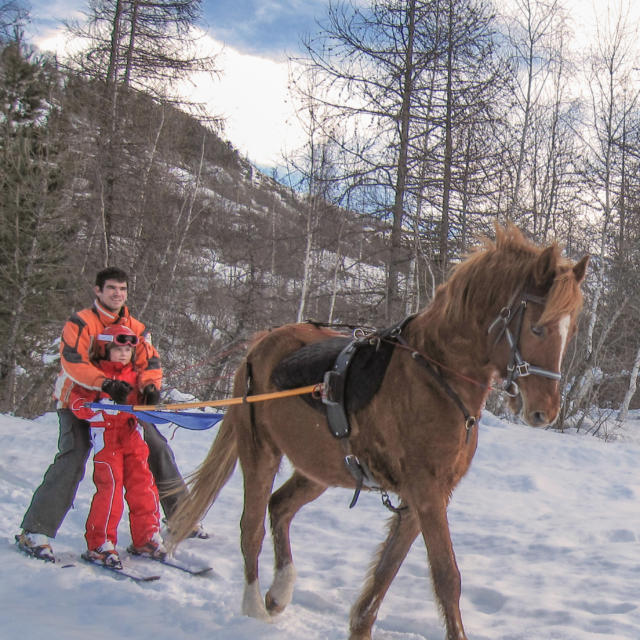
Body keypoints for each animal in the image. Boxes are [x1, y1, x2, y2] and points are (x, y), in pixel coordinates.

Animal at [170, 225, 592, 640]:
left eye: (570, 332)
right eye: (537, 328)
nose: (544, 411)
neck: (435, 376)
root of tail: (260, 345)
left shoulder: (425, 496)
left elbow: (386, 573)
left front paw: (360, 627)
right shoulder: (426, 493)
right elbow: (447, 578)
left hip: (319, 468)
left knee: (280, 508)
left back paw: (280, 590)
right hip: (260, 451)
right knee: (252, 527)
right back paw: (255, 605)